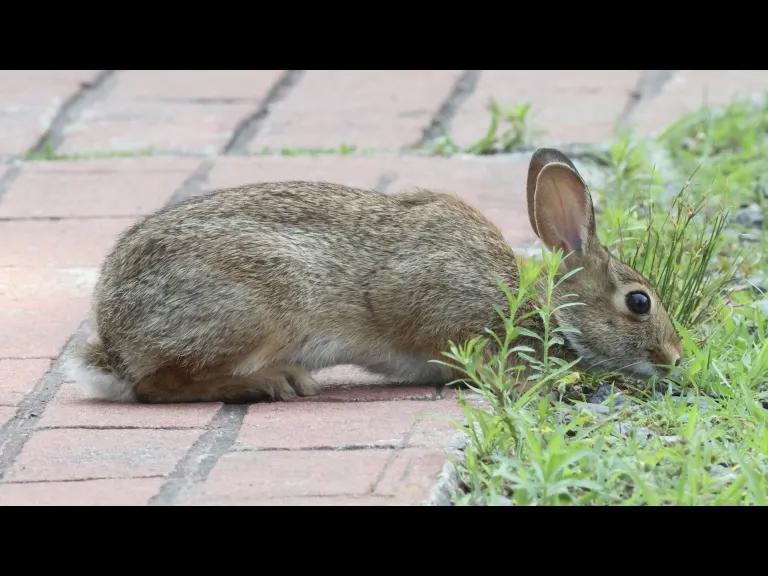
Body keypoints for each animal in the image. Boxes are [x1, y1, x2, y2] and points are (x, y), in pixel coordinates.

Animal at [63, 148, 683, 404]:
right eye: (639, 303)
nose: (677, 357)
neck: (529, 305)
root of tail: (115, 339)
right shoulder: (436, 300)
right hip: (254, 307)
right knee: (156, 386)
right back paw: (271, 382)